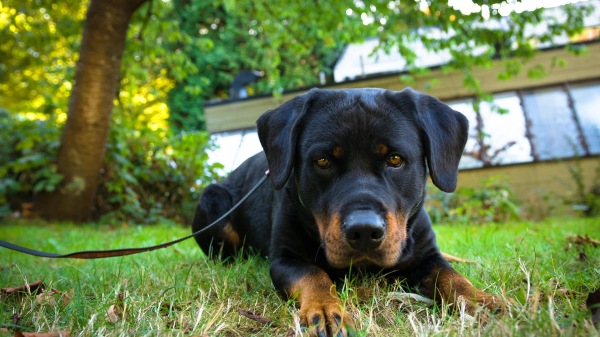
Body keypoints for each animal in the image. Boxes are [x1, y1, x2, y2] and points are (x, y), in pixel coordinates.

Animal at [192, 87, 506, 336]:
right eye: (322, 161)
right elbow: (313, 274)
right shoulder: (284, 258)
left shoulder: (427, 255)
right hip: (212, 199)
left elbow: (451, 277)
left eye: (395, 159)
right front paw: (324, 310)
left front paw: (481, 301)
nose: (364, 231)